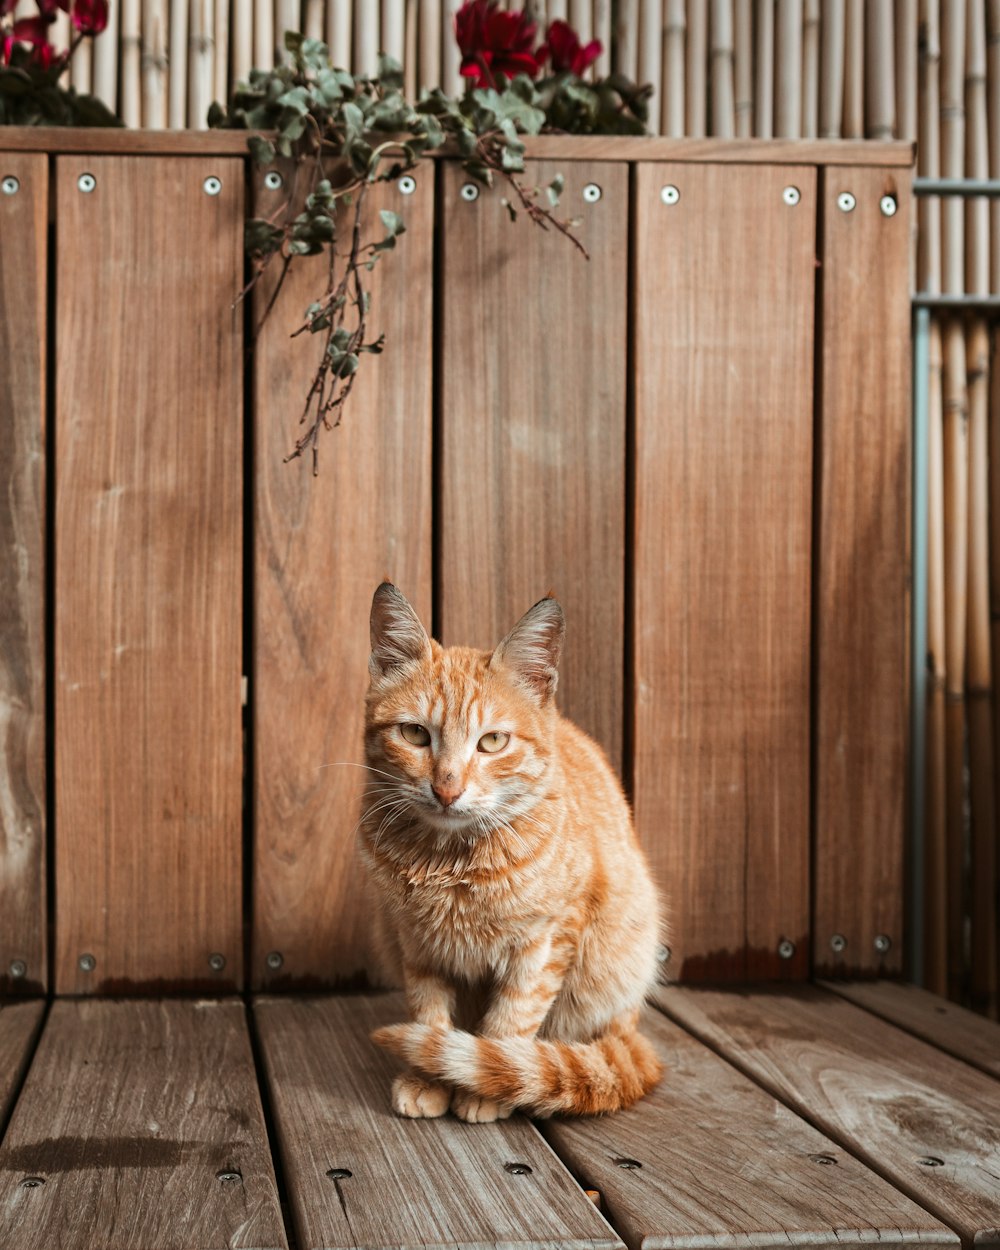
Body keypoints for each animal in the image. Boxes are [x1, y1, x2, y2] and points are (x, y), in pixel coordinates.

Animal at [362, 582, 665, 1125]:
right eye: (415, 734)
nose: (447, 789)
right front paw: (429, 1077)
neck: (451, 862)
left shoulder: (546, 939)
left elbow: (511, 1018)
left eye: (493, 742)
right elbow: (429, 1015)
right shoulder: (415, 944)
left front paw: (490, 1083)